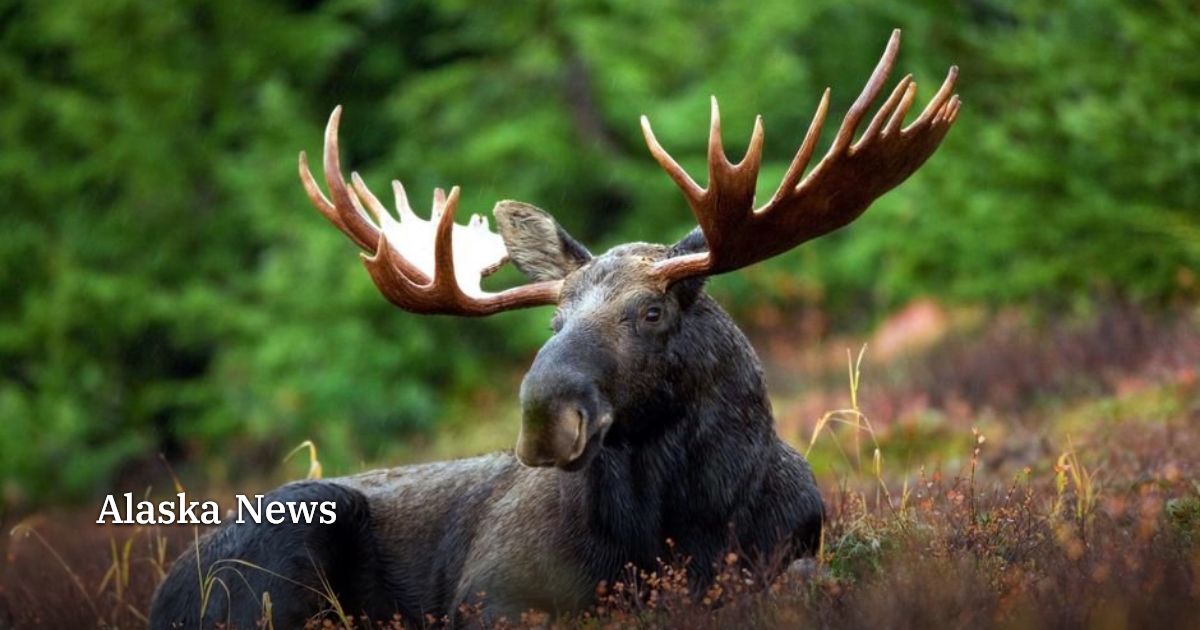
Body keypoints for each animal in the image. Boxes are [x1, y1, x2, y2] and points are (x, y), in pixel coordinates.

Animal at [150, 30, 959, 629]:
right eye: (554, 318)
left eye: (652, 311)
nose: (544, 416)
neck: (682, 526)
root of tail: (163, 589)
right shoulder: (492, 592)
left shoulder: (793, 548)